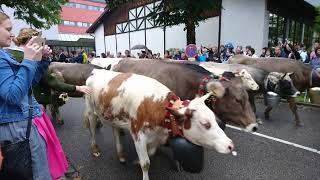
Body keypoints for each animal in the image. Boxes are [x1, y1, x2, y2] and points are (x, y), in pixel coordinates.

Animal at [84, 69, 234, 180]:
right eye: (206, 124)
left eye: (214, 119)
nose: (230, 145)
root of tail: (97, 71)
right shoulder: (138, 135)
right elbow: (145, 164)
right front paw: (142, 168)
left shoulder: (156, 137)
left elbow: (151, 152)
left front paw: (136, 161)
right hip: (90, 109)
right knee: (92, 128)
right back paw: (95, 149)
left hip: (113, 114)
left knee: (115, 130)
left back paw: (121, 154)